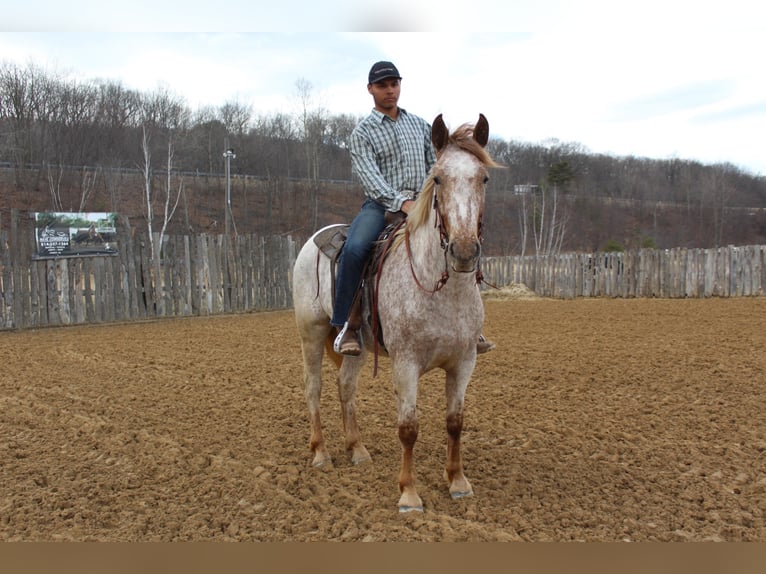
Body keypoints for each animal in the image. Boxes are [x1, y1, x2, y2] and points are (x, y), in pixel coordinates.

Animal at [292, 112, 500, 512]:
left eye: (483, 177)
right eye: (438, 178)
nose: (464, 250)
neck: (442, 291)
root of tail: (314, 239)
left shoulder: (464, 362)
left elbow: (455, 422)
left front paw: (458, 482)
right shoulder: (406, 363)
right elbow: (408, 428)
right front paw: (409, 494)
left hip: (355, 347)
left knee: (345, 387)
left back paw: (357, 450)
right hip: (311, 332)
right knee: (313, 387)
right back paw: (321, 454)